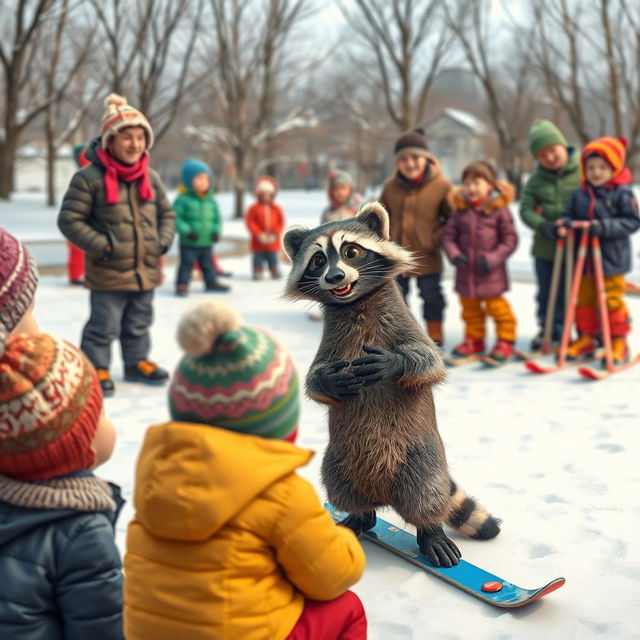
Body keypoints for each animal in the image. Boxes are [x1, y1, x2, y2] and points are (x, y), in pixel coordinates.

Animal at [284, 202, 500, 568]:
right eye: (317, 261)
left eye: (351, 252)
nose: (335, 277)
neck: (355, 303)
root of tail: (381, 493)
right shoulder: (330, 345)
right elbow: (314, 381)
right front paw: (328, 380)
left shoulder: (404, 323)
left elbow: (430, 362)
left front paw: (394, 364)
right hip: (339, 459)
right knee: (340, 486)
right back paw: (359, 517)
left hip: (422, 456)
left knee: (426, 493)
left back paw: (430, 531)